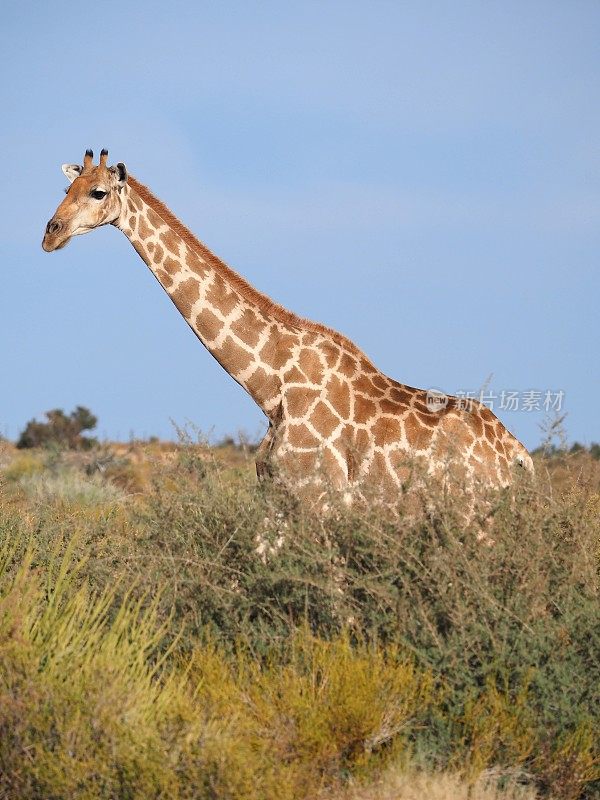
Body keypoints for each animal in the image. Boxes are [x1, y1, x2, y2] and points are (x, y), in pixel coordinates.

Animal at [41, 150, 528, 510]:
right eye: (66, 189)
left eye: (99, 192)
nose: (50, 233)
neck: (269, 387)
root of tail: (518, 456)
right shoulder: (277, 498)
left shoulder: (319, 499)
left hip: (472, 516)